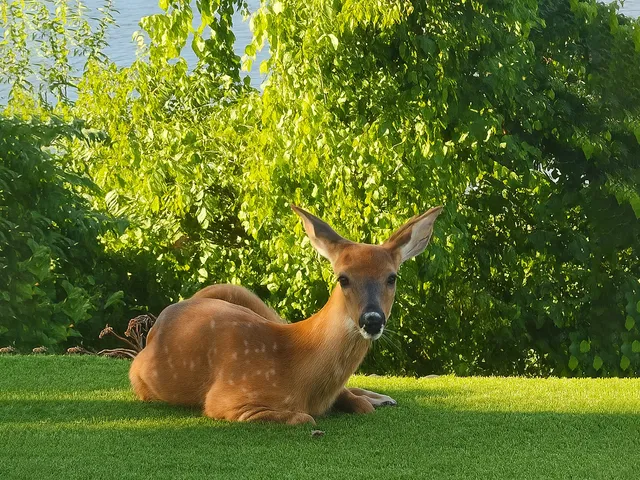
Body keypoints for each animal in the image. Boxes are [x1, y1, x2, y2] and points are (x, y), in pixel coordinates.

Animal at [129, 204, 442, 425]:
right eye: (343, 278)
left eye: (392, 277)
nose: (372, 320)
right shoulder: (226, 400)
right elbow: (305, 418)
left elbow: (359, 404)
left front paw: (373, 400)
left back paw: (383, 397)